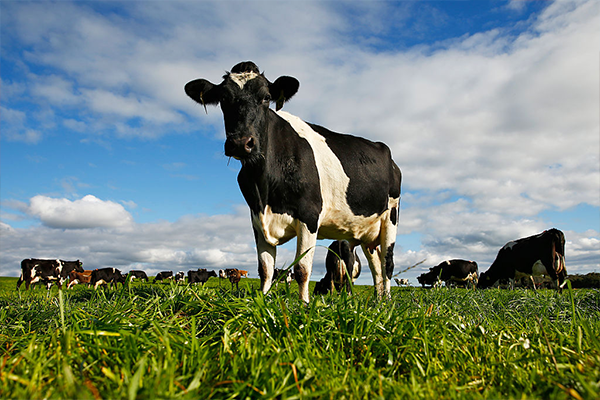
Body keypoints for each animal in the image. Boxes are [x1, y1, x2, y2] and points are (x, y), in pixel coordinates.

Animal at [186, 61, 404, 302]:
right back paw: (378, 301)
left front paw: (304, 304)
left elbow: (302, 269)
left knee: (387, 263)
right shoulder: (257, 219)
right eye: (223, 98)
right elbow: (265, 269)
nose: (241, 143)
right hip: (367, 232)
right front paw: (264, 301)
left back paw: (388, 302)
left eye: (266, 97)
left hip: (391, 215)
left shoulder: (309, 215)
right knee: (376, 267)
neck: (263, 186)